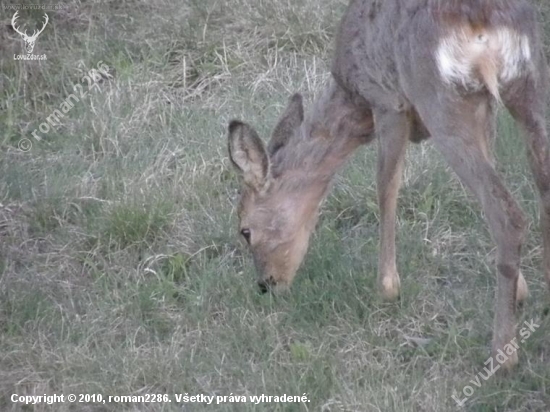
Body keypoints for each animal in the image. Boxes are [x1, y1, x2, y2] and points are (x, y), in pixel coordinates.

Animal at [226, 0, 548, 370]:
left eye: (245, 230)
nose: (266, 284)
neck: (352, 98)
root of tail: (481, 22)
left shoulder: (387, 101)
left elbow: (386, 187)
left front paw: (387, 289)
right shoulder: (484, 108)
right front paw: (522, 291)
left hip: (440, 99)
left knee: (508, 216)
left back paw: (503, 355)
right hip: (530, 82)